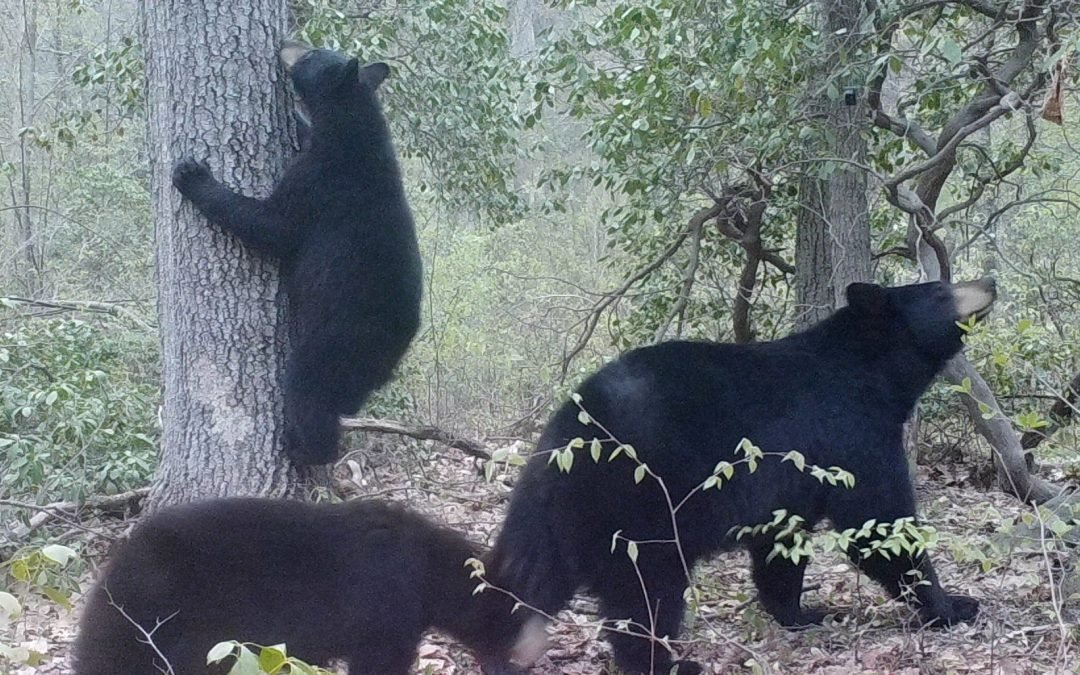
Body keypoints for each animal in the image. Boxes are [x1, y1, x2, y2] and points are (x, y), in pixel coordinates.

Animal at [73, 494, 548, 673]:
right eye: (512, 621)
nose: (523, 663)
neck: (427, 572)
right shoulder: (384, 611)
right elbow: (380, 660)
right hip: (165, 618)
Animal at [171, 40, 421, 462]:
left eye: (311, 55)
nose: (287, 43)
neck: (353, 129)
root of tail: (396, 350)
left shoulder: (319, 184)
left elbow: (271, 225)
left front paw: (193, 176)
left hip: (333, 343)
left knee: (308, 392)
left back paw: (301, 448)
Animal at [490, 276, 993, 669]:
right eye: (941, 289)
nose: (988, 281)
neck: (876, 373)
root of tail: (567, 435)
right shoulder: (853, 433)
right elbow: (879, 522)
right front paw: (953, 605)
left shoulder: (790, 484)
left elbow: (781, 546)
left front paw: (801, 612)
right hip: (638, 512)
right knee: (647, 596)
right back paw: (670, 662)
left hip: (553, 516)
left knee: (526, 581)